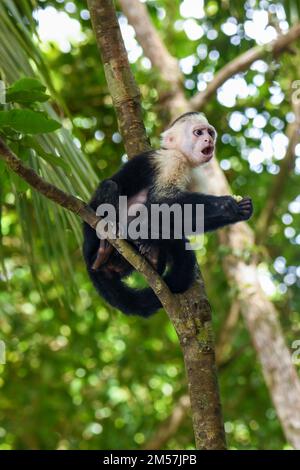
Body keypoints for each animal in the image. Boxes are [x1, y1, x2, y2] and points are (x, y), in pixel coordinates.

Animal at [82, 112, 253, 318]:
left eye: (210, 133)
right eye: (199, 132)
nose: (208, 140)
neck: (176, 152)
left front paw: (240, 210)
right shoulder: (171, 161)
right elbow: (160, 201)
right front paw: (229, 205)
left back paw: (152, 254)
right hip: (92, 237)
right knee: (110, 187)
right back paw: (108, 241)